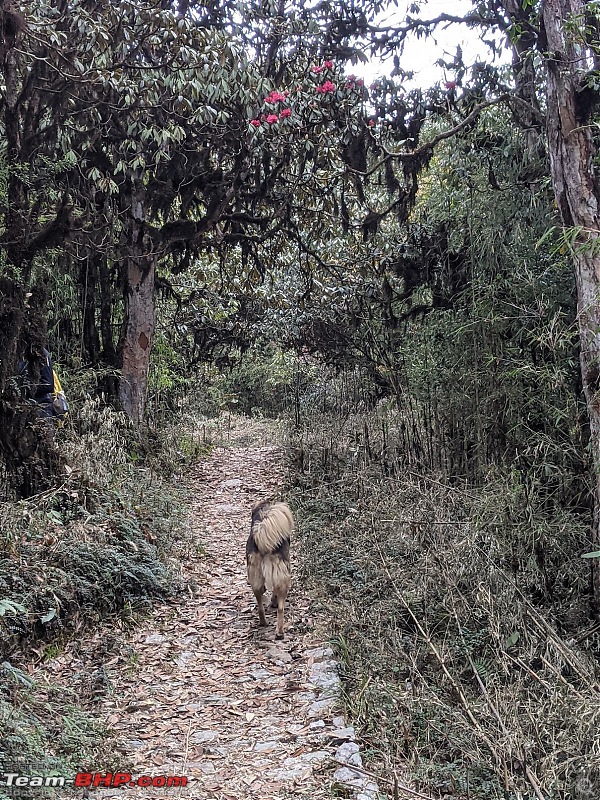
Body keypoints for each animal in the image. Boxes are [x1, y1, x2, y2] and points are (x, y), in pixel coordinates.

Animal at [246, 500, 292, 636]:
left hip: (256, 577)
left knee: (261, 604)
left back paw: (264, 623)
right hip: (283, 578)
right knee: (281, 608)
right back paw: (279, 631)